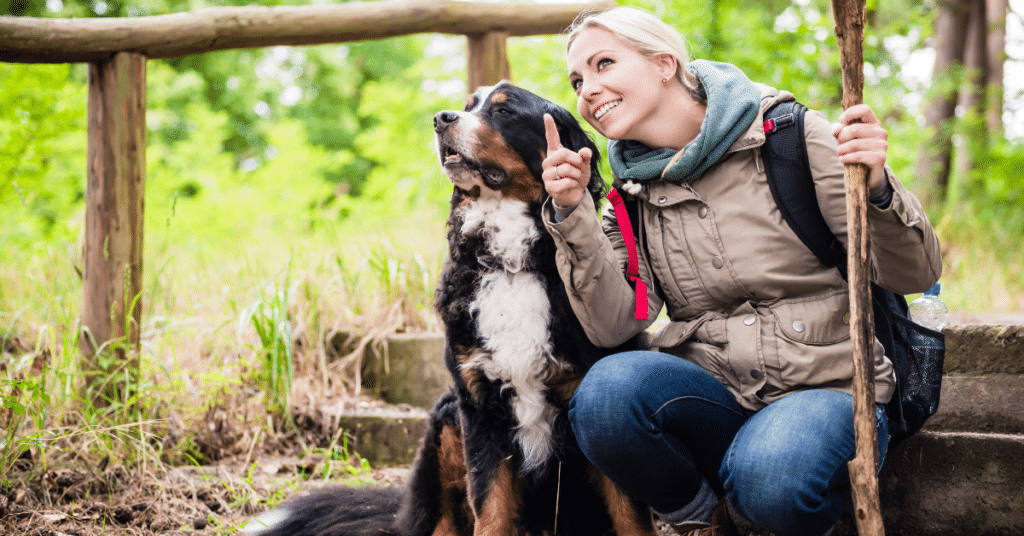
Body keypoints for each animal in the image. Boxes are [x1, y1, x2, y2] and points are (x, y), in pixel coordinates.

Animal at [242, 81, 651, 536]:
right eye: (467, 105)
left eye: (504, 111)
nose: (441, 119)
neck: (511, 264)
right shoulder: (479, 408)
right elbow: (490, 509)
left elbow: (631, 515)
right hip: (446, 420)